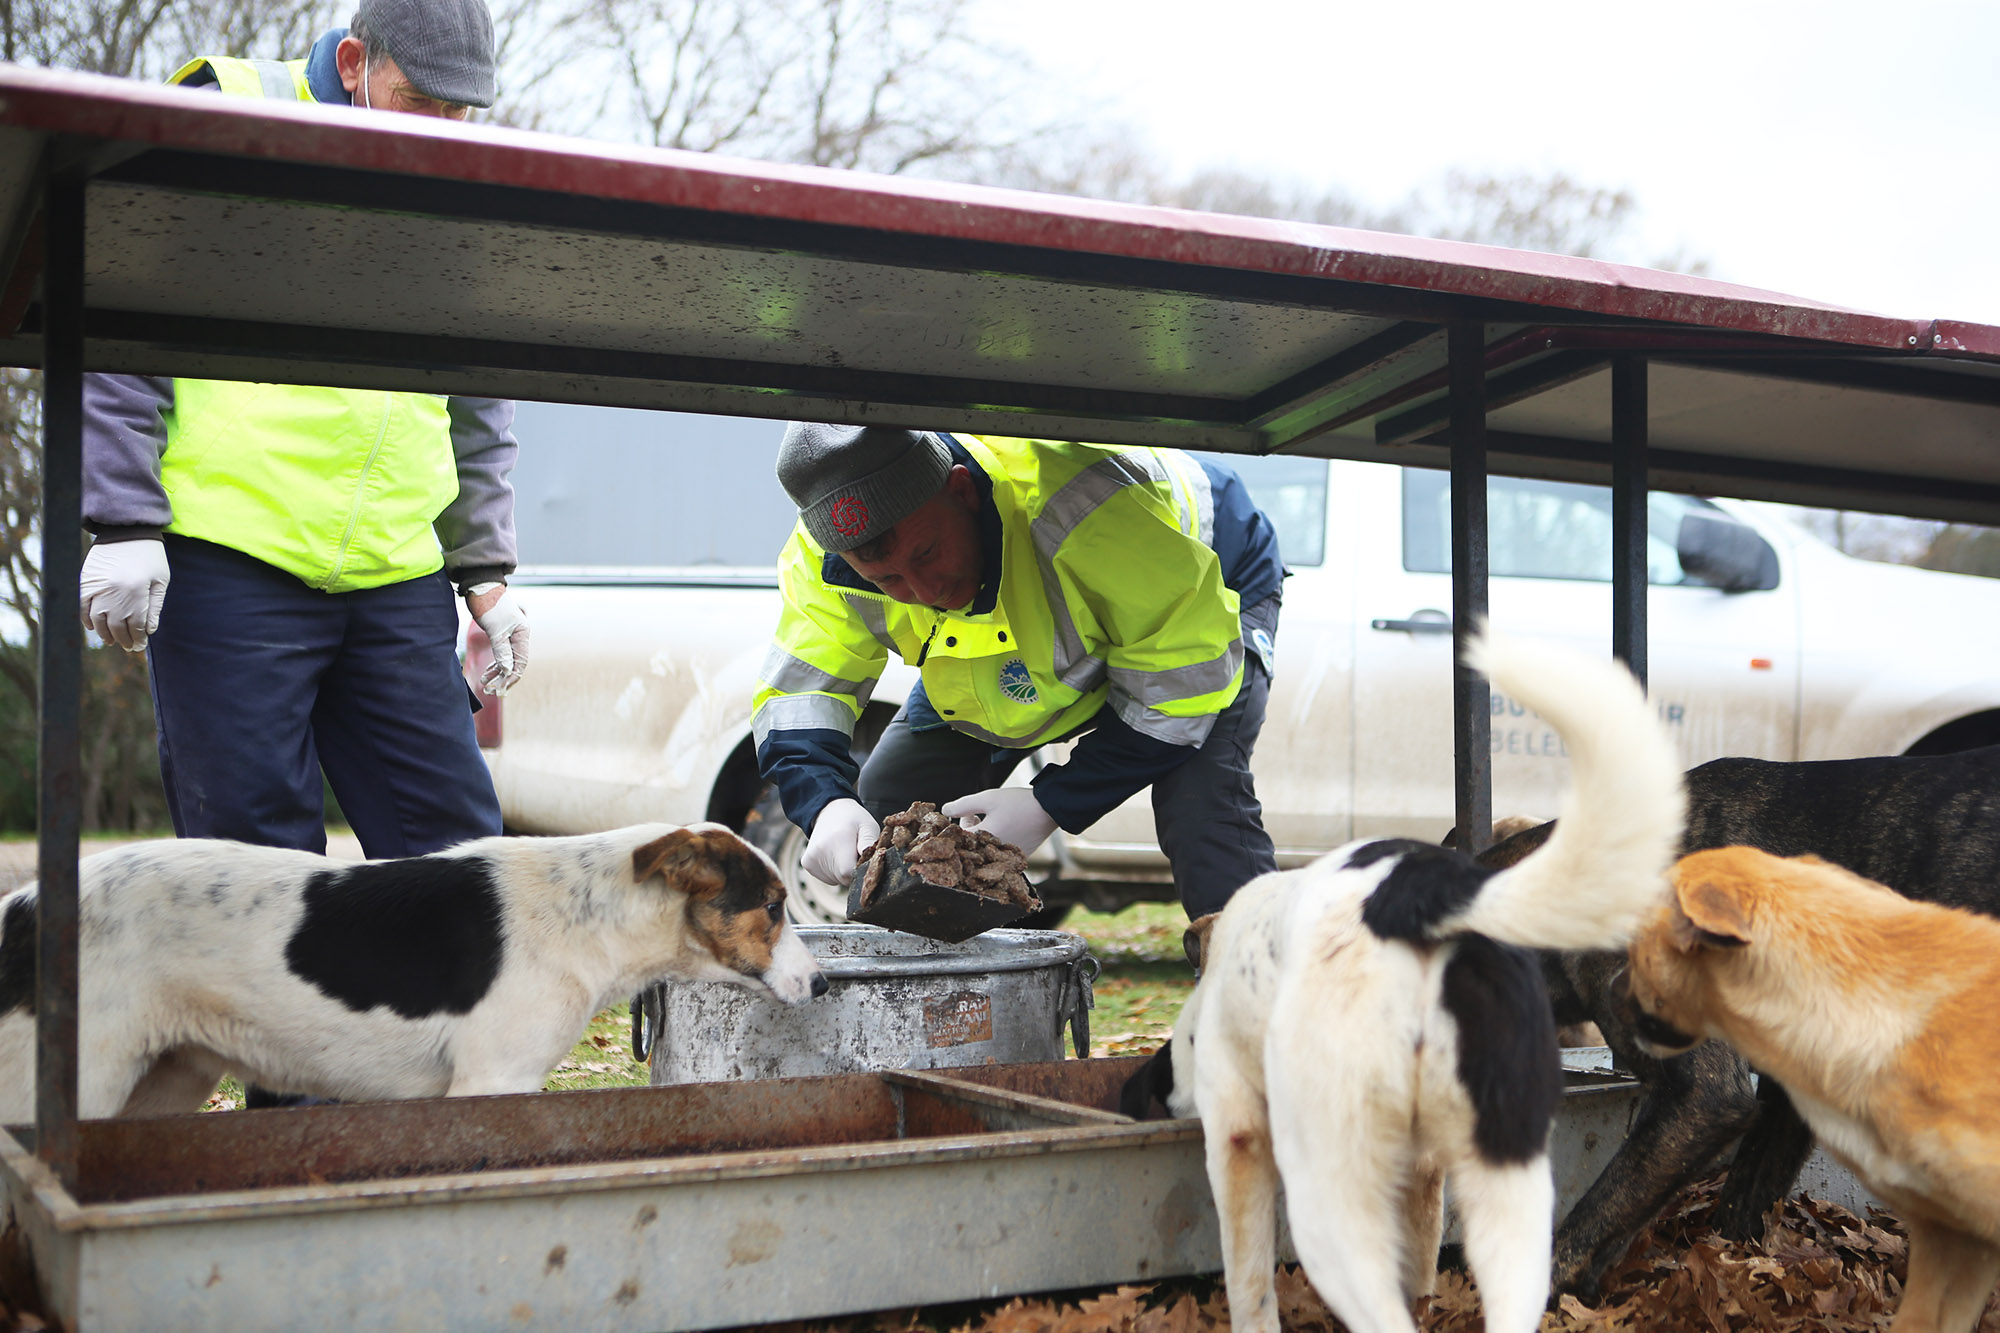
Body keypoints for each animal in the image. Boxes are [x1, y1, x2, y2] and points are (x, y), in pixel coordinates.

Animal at [0, 816, 828, 1112]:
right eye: (775, 905)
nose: (821, 981)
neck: (590, 911)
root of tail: (24, 907)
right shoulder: (492, 1082)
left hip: (164, 1082)